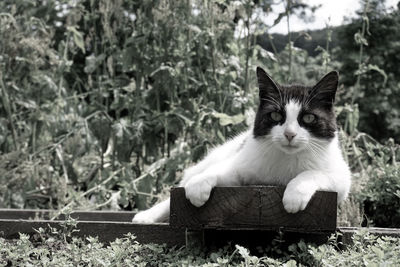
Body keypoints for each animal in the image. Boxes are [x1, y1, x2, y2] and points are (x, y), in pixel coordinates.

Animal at [131, 67, 350, 224]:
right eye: (276, 115)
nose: (289, 134)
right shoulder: (244, 166)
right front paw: (198, 187)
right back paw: (147, 215)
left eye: (309, 118)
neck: (286, 160)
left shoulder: (342, 178)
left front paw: (294, 194)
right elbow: (223, 170)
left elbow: (313, 173)